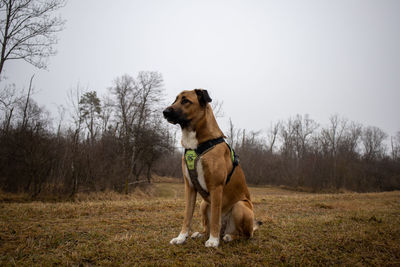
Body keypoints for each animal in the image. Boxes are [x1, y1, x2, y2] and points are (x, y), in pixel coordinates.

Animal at [163, 89, 260, 248]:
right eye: (175, 100)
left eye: (185, 101)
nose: (164, 112)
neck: (196, 145)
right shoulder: (189, 187)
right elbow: (187, 216)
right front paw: (181, 237)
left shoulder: (216, 187)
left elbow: (215, 217)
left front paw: (213, 241)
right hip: (203, 204)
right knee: (207, 227)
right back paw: (201, 234)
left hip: (240, 206)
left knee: (245, 235)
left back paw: (227, 237)